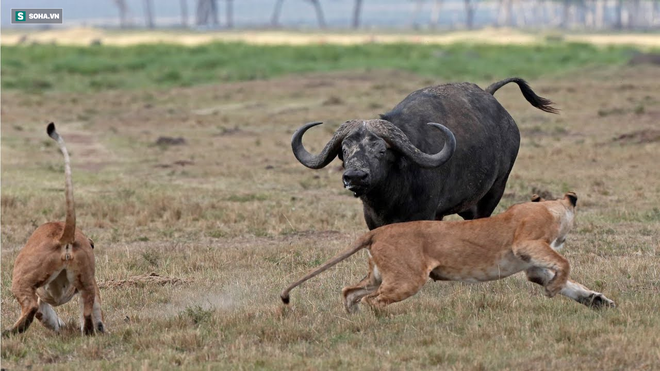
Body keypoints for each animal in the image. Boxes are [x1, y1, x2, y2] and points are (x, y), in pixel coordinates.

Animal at [292, 77, 556, 230]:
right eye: (345, 150)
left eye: (381, 150)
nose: (355, 176)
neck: (391, 194)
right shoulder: (373, 220)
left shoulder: (424, 213)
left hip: (494, 190)